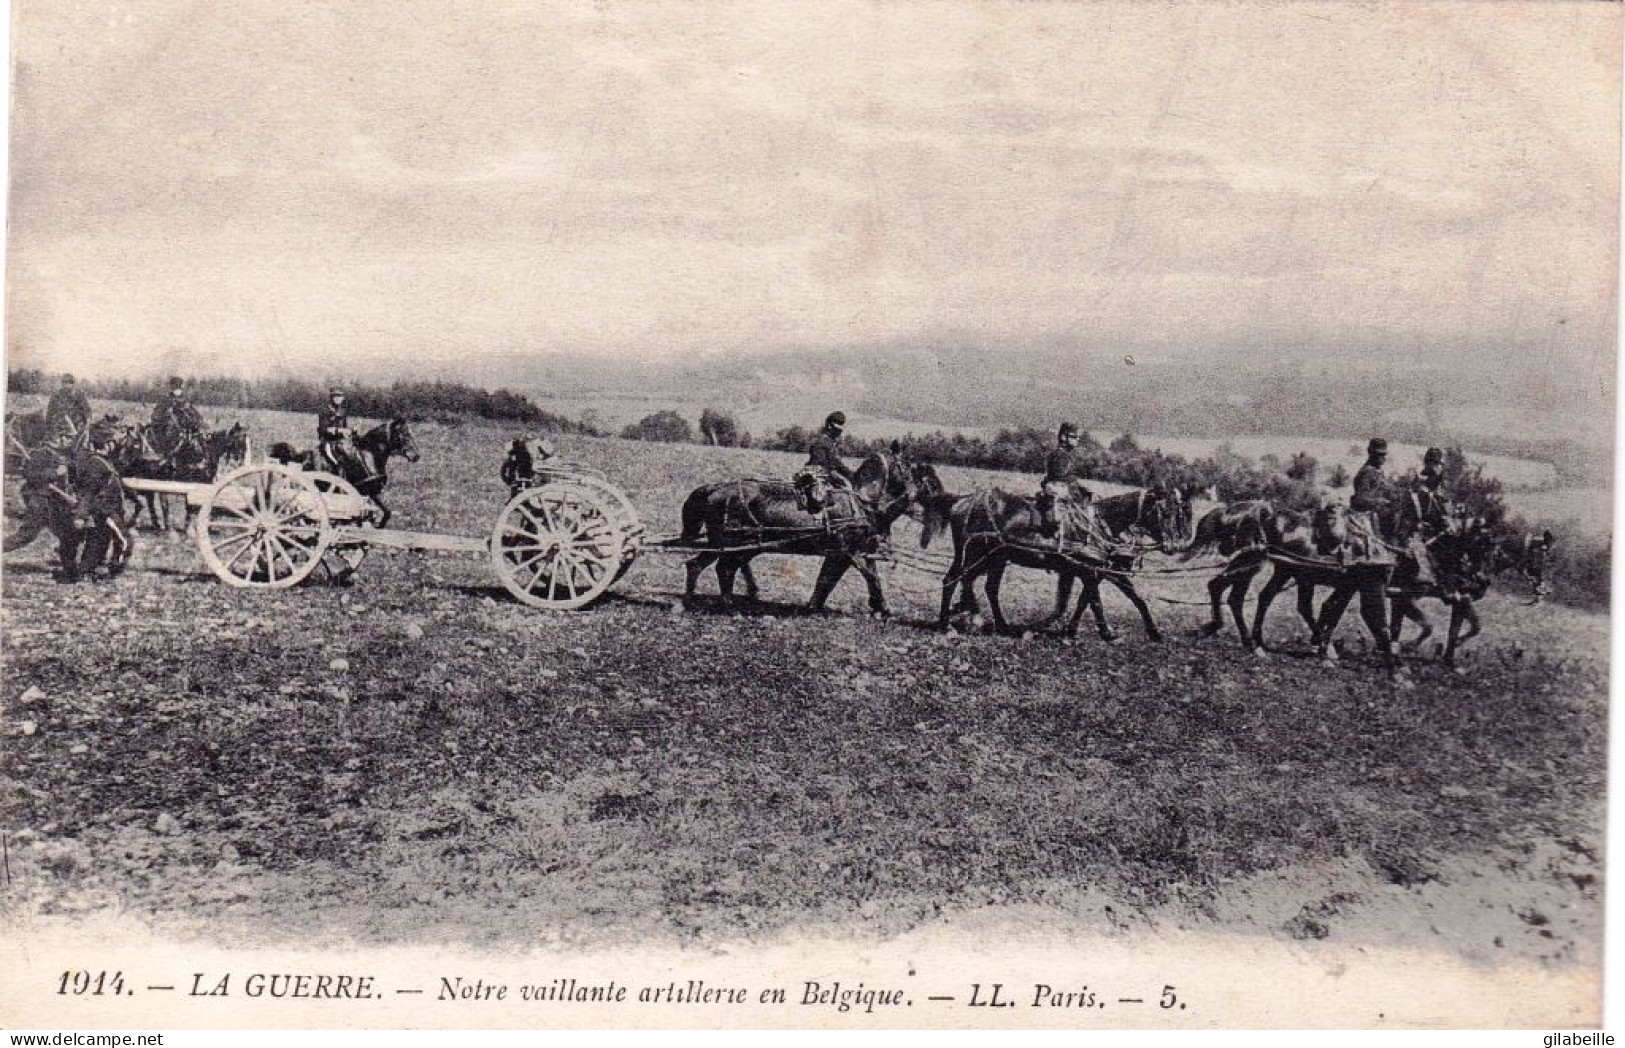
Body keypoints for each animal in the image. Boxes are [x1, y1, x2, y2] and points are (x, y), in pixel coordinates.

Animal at [266, 415, 419, 526]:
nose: (416, 456)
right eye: (404, 434)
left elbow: (386, 512)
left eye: (411, 434)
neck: (369, 455)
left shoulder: (370, 492)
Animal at [672, 448, 929, 614]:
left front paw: (879, 607)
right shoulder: (846, 552)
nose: (918, 497)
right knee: (721, 568)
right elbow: (860, 576)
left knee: (703, 566)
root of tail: (713, 489)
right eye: (907, 467)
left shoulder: (852, 551)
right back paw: (723, 604)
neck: (860, 502)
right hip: (732, 544)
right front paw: (882, 608)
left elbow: (841, 577)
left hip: (732, 546)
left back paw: (695, 600)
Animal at [923, 484, 1163, 636]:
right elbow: (1094, 600)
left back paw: (984, 622)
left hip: (991, 559)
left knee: (975, 585)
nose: (1168, 545)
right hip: (977, 555)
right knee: (960, 581)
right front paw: (1105, 632)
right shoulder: (1090, 571)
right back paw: (960, 619)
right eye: (1163, 512)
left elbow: (1096, 598)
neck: (1097, 525)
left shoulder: (1091, 571)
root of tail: (962, 501)